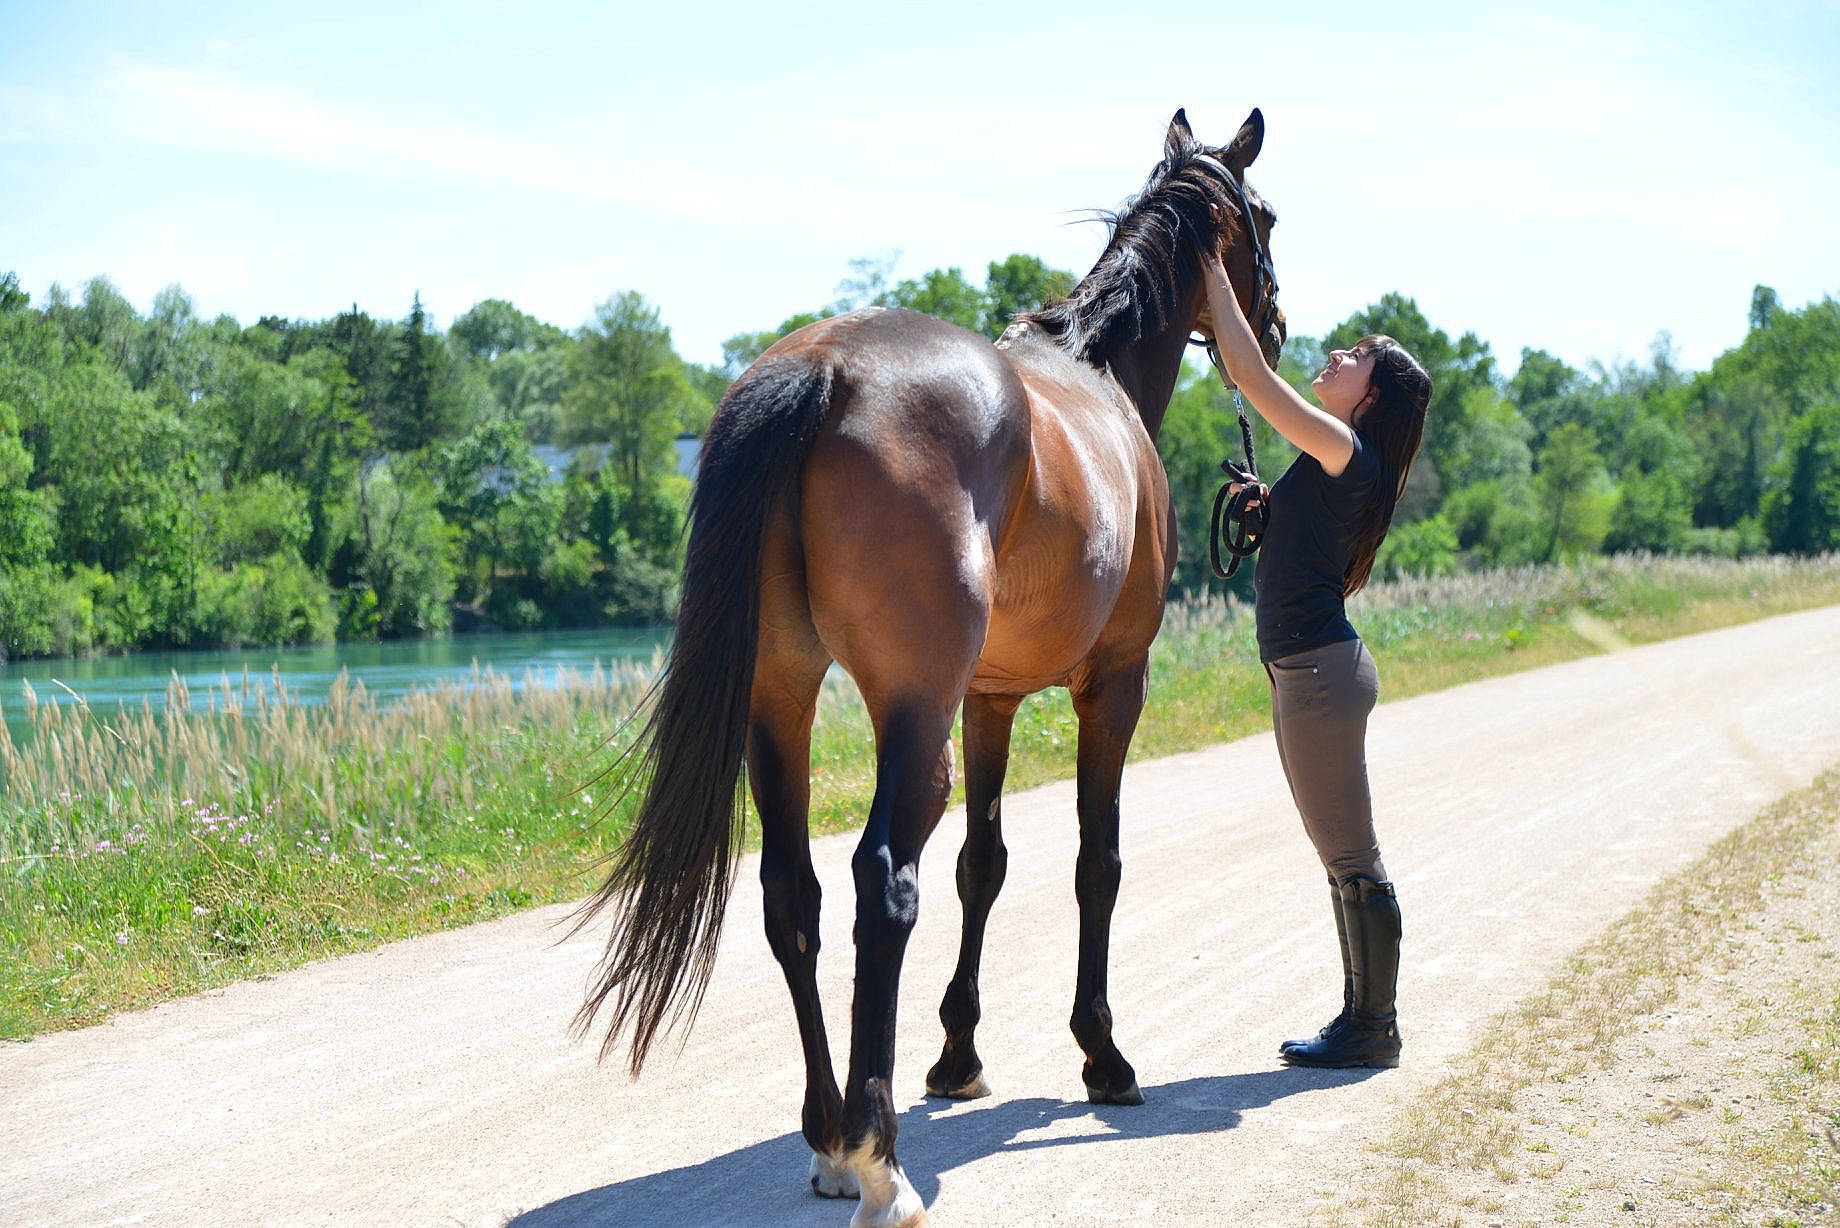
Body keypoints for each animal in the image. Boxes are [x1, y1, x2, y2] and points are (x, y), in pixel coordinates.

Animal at [576, 107, 1285, 1228]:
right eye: (1266, 218)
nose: (1281, 324)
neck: (1098, 376)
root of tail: (823, 372)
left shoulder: (988, 698)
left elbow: (982, 865)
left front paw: (957, 1054)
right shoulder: (1112, 685)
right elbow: (1094, 862)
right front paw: (1104, 1055)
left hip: (781, 699)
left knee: (794, 892)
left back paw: (828, 1138)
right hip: (912, 716)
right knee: (882, 882)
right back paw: (879, 1160)